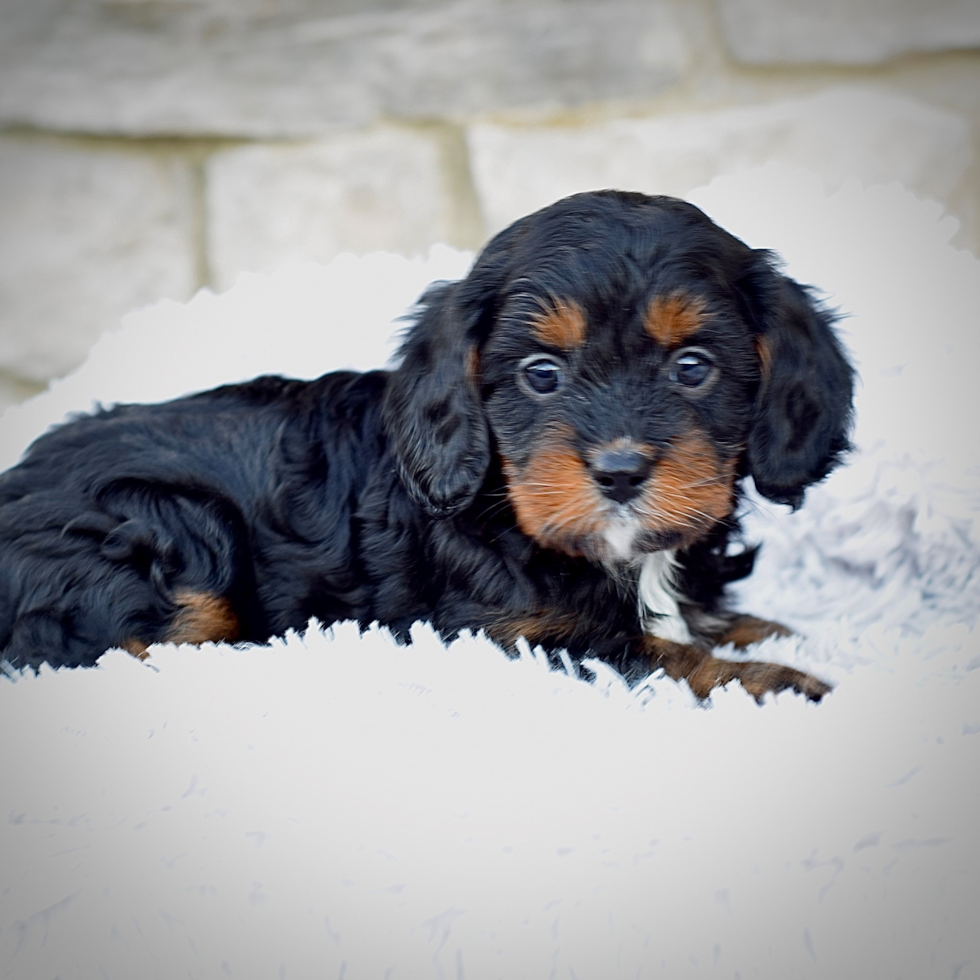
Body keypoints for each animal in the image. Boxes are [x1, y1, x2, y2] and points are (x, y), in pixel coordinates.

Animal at [0, 189, 848, 696]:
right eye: (542, 373)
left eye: (693, 367)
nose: (619, 471)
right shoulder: (513, 636)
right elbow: (670, 658)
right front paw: (785, 681)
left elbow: (709, 620)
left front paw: (792, 633)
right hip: (169, 536)